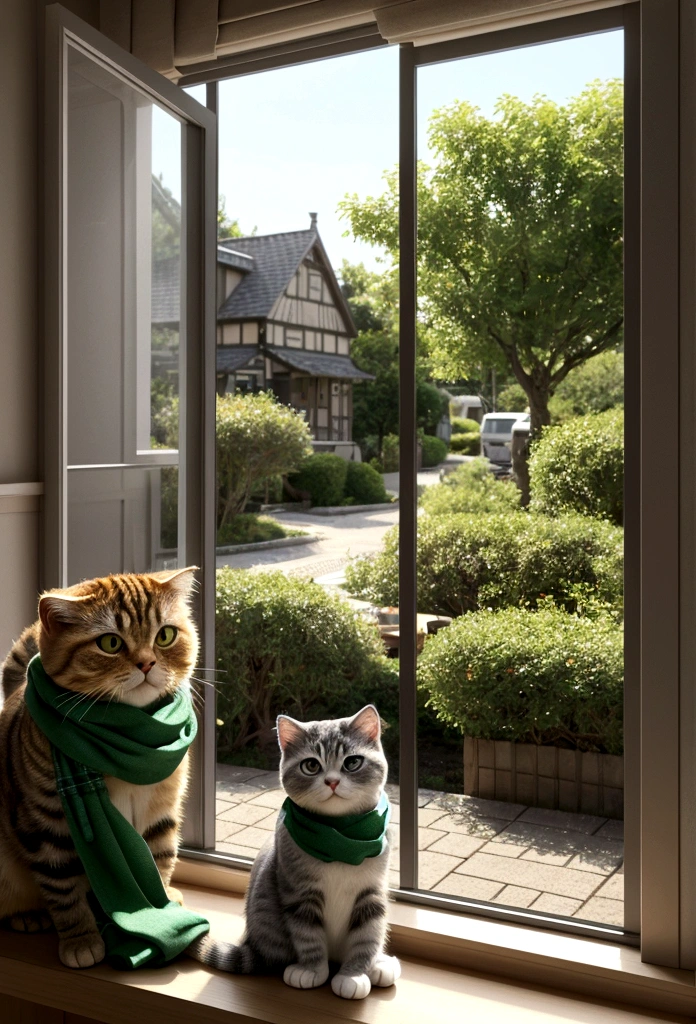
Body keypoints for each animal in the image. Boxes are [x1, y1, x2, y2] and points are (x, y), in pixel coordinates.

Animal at [0, 569, 198, 966]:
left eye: (165, 636)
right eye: (110, 643)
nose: (147, 663)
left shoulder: (162, 811)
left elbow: (159, 860)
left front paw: (162, 906)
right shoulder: (45, 827)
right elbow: (63, 889)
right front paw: (81, 938)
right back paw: (28, 915)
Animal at [190, 704, 399, 999]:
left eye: (352, 763)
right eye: (311, 765)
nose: (332, 781)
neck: (339, 837)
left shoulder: (371, 894)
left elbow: (367, 935)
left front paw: (354, 974)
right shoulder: (299, 893)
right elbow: (308, 936)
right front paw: (311, 970)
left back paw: (379, 964)